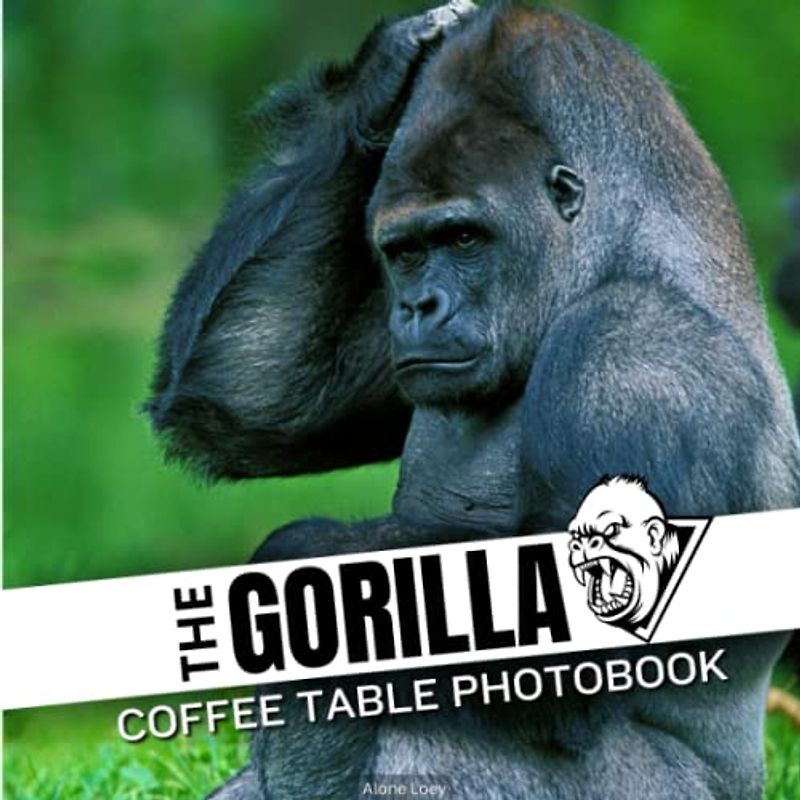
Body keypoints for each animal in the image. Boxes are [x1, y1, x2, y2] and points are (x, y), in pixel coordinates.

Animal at [149, 3, 800, 798]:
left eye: (463, 237)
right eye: (404, 252)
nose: (417, 307)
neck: (617, 251)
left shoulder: (633, 354)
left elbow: (561, 664)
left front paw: (298, 561)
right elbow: (247, 400)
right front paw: (380, 73)